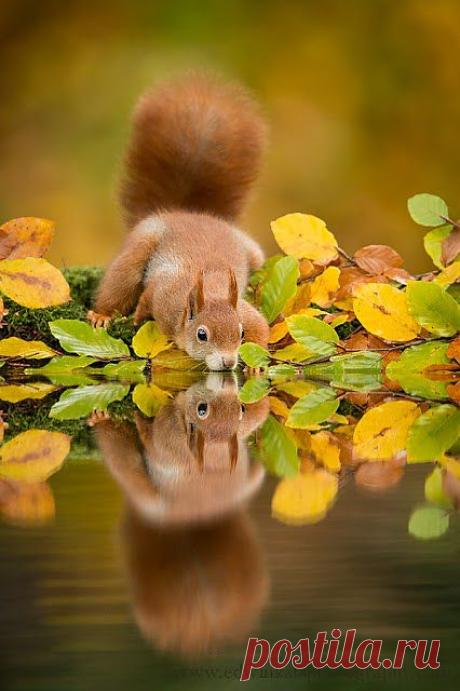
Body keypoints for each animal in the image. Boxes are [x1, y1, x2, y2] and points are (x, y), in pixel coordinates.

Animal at [90, 73, 270, 370]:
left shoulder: (244, 312)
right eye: (202, 334)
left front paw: (257, 363)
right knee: (120, 282)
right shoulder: (163, 295)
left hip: (253, 253)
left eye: (240, 332)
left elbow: (263, 327)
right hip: (140, 246)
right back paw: (102, 314)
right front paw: (137, 318)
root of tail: (185, 212)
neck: (209, 290)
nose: (228, 362)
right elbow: (146, 298)